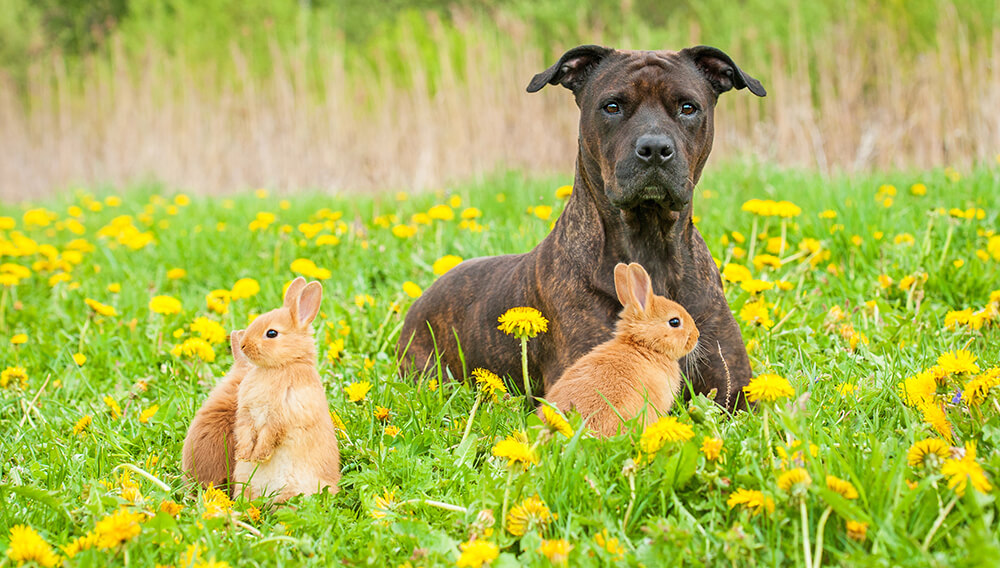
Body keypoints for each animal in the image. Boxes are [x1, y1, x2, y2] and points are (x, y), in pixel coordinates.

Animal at [232, 278, 342, 500]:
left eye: (271, 333)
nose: (243, 345)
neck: (281, 366)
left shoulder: (281, 413)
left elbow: (269, 434)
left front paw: (259, 455)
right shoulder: (246, 412)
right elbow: (245, 430)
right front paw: (244, 454)